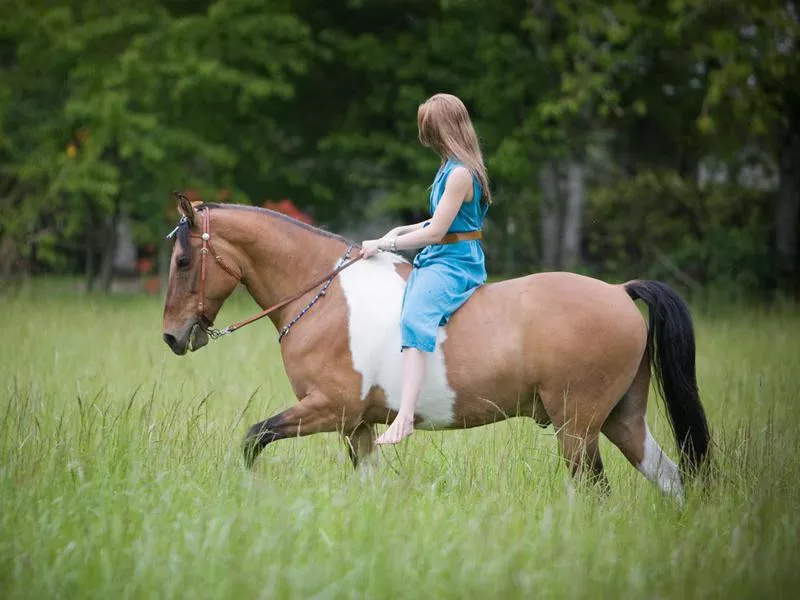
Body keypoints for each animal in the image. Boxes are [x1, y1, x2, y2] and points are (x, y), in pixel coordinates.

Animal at [161, 195, 708, 500]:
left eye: (184, 261)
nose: (172, 336)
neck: (325, 295)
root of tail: (618, 291)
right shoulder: (358, 426)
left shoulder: (330, 410)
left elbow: (253, 438)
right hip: (620, 419)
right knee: (668, 476)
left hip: (577, 427)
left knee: (596, 490)